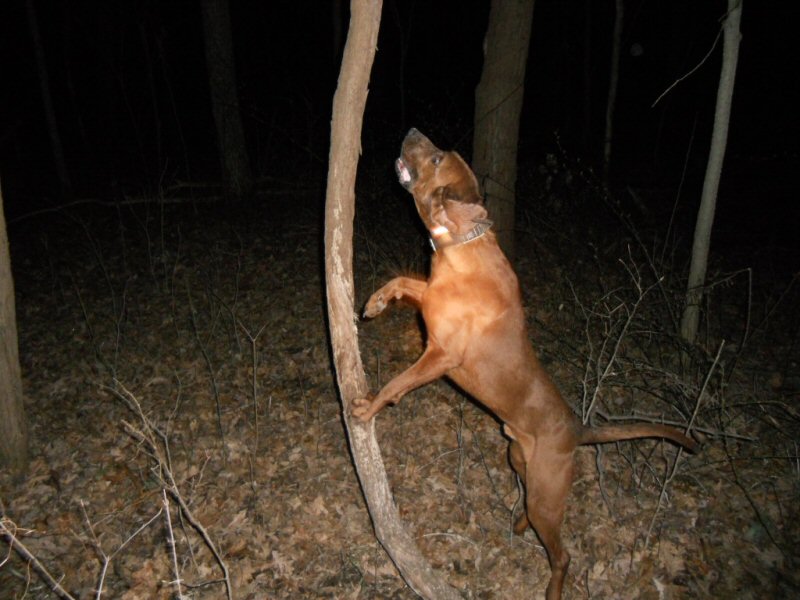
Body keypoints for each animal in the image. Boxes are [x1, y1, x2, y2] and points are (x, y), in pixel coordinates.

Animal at [354, 127, 696, 600]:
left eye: (438, 157)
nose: (411, 131)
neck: (462, 244)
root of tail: (577, 429)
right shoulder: (432, 301)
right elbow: (403, 279)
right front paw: (375, 301)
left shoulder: (440, 354)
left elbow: (394, 384)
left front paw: (368, 407)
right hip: (519, 461)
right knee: (532, 515)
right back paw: (518, 524)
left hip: (545, 494)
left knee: (563, 553)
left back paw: (552, 585)